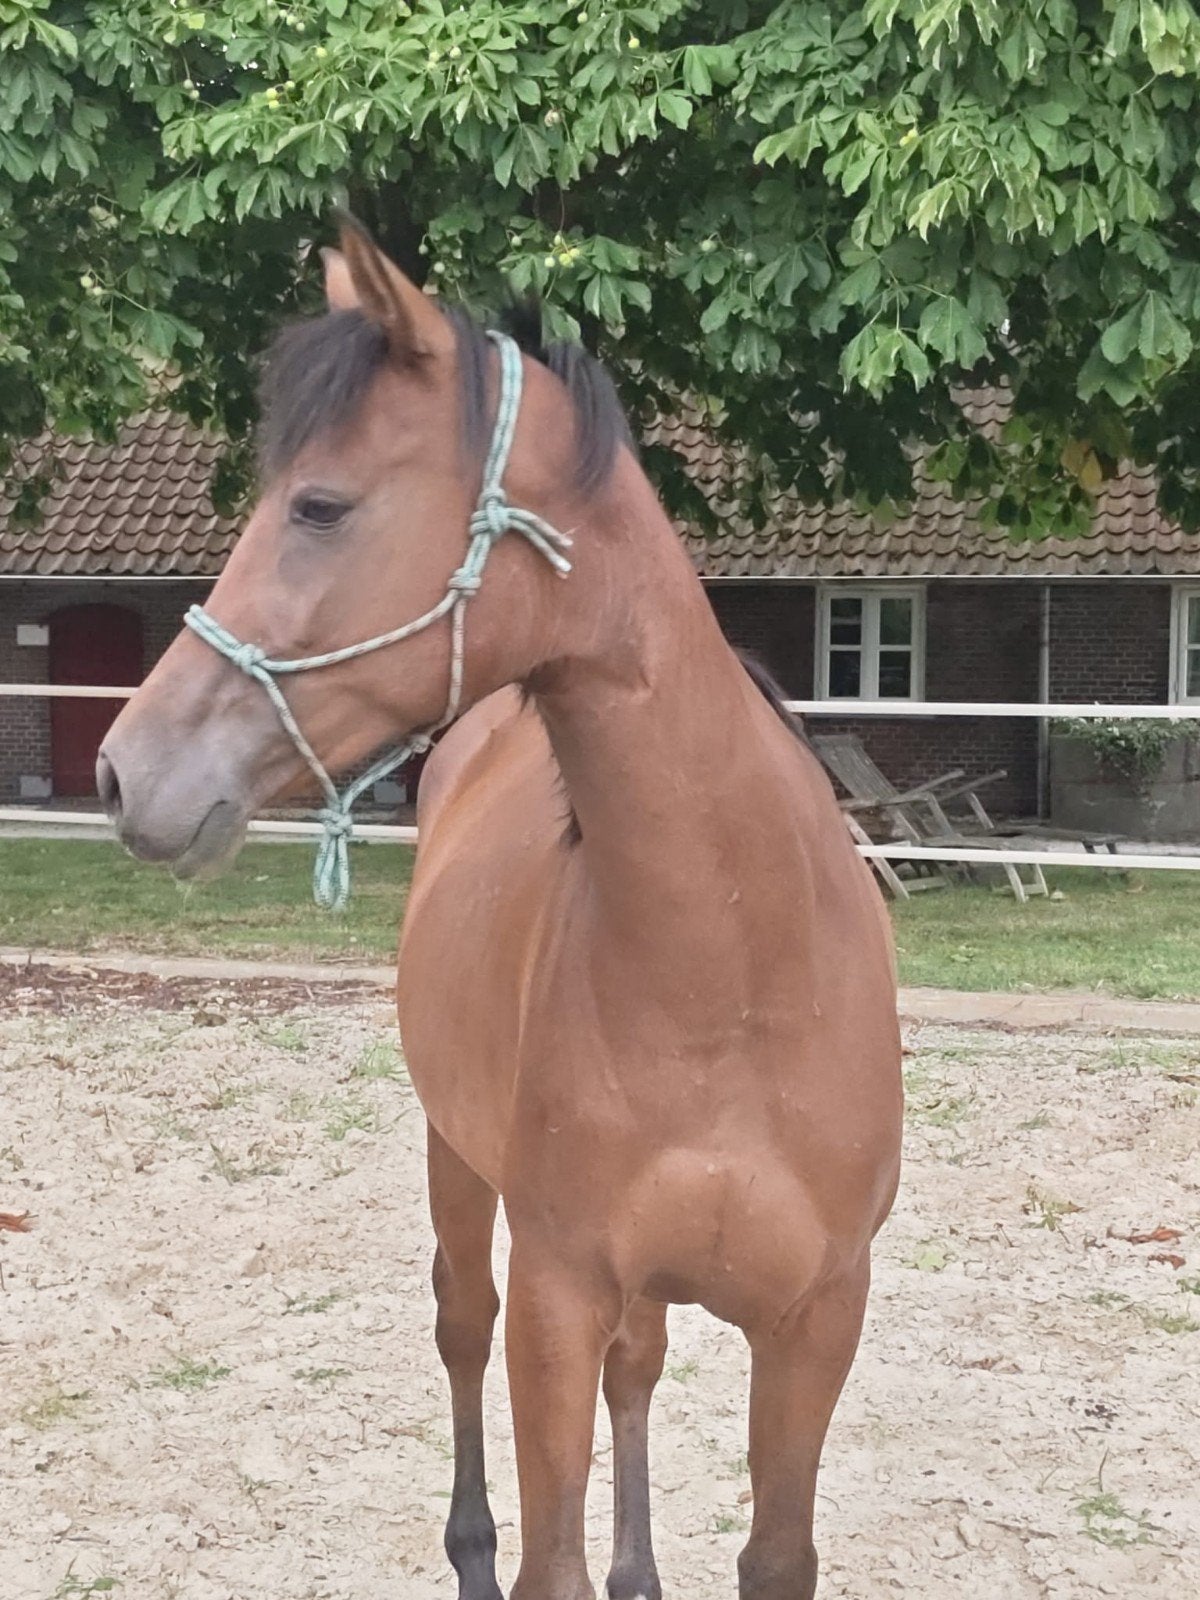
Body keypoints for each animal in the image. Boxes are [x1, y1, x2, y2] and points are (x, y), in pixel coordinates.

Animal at [98, 218, 903, 1600]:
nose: (123, 769)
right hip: (458, 1169)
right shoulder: (555, 1295)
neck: (735, 969)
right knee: (461, 1328)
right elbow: (548, 1553)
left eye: (320, 504)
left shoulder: (815, 1321)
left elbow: (772, 1548)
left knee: (641, 1369)